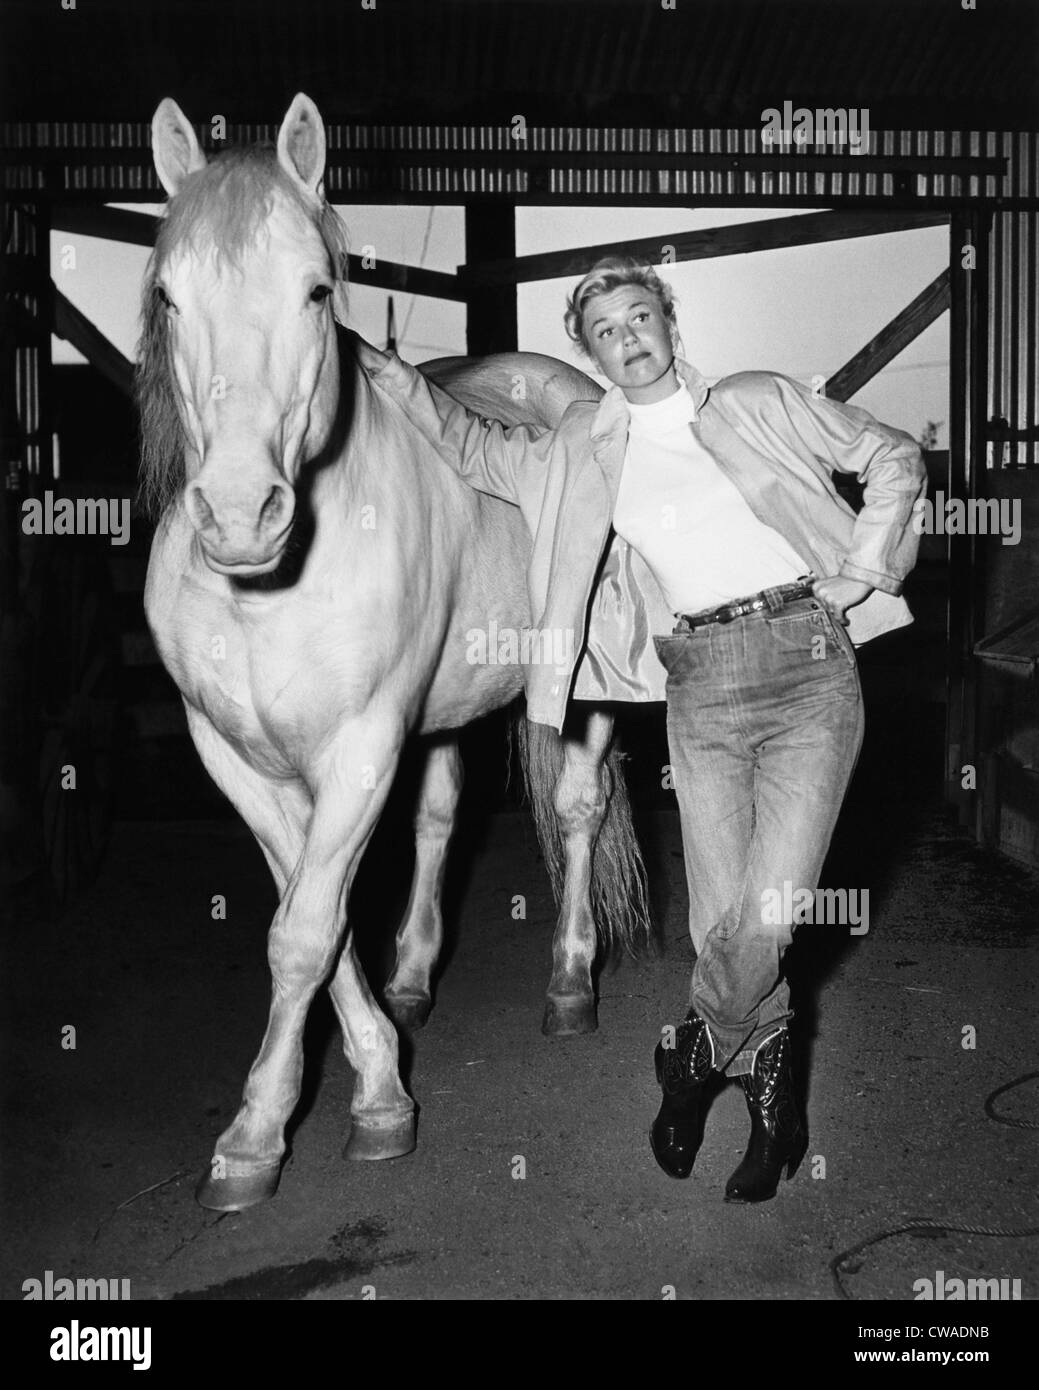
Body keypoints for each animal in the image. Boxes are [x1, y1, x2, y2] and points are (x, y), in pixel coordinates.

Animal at [139, 95, 650, 1206]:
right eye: (167, 295)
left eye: (316, 287)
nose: (239, 516)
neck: (267, 597)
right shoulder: (238, 762)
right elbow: (317, 924)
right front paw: (354, 1083)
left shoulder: (360, 749)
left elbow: (303, 933)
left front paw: (283, 1128)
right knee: (438, 820)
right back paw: (415, 978)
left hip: (581, 693)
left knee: (578, 812)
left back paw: (569, 981)